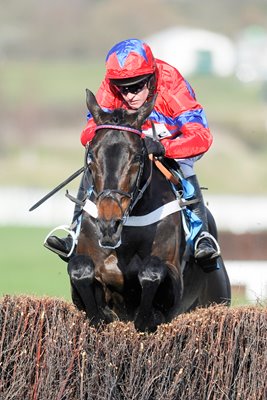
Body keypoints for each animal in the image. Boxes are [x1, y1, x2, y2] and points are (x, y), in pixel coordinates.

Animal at [67, 89, 232, 332]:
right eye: (91, 157)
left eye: (137, 156)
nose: (109, 224)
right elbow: (80, 269)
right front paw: (98, 316)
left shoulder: (174, 281)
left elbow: (151, 271)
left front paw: (144, 318)